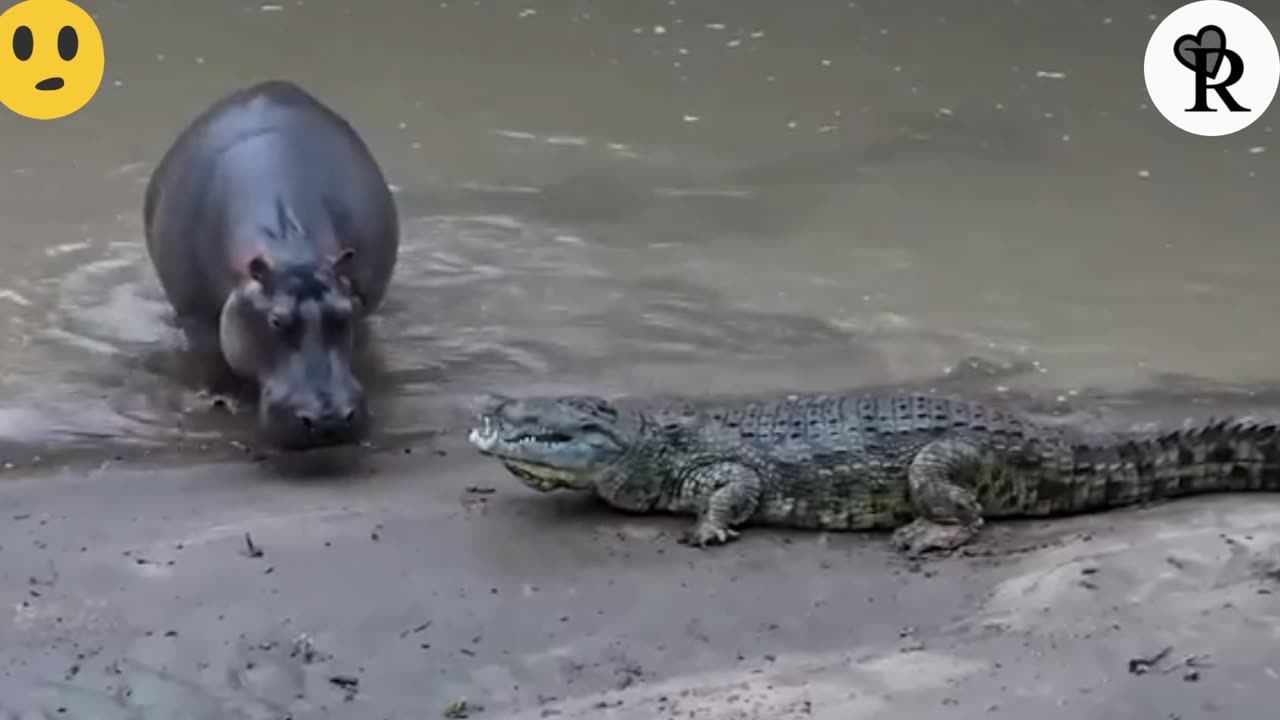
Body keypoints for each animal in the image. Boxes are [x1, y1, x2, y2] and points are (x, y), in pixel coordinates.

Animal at [142, 82, 396, 448]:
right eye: (276, 320)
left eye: (344, 313)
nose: (329, 419)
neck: (291, 253)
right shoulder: (197, 318)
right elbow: (214, 370)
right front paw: (223, 403)